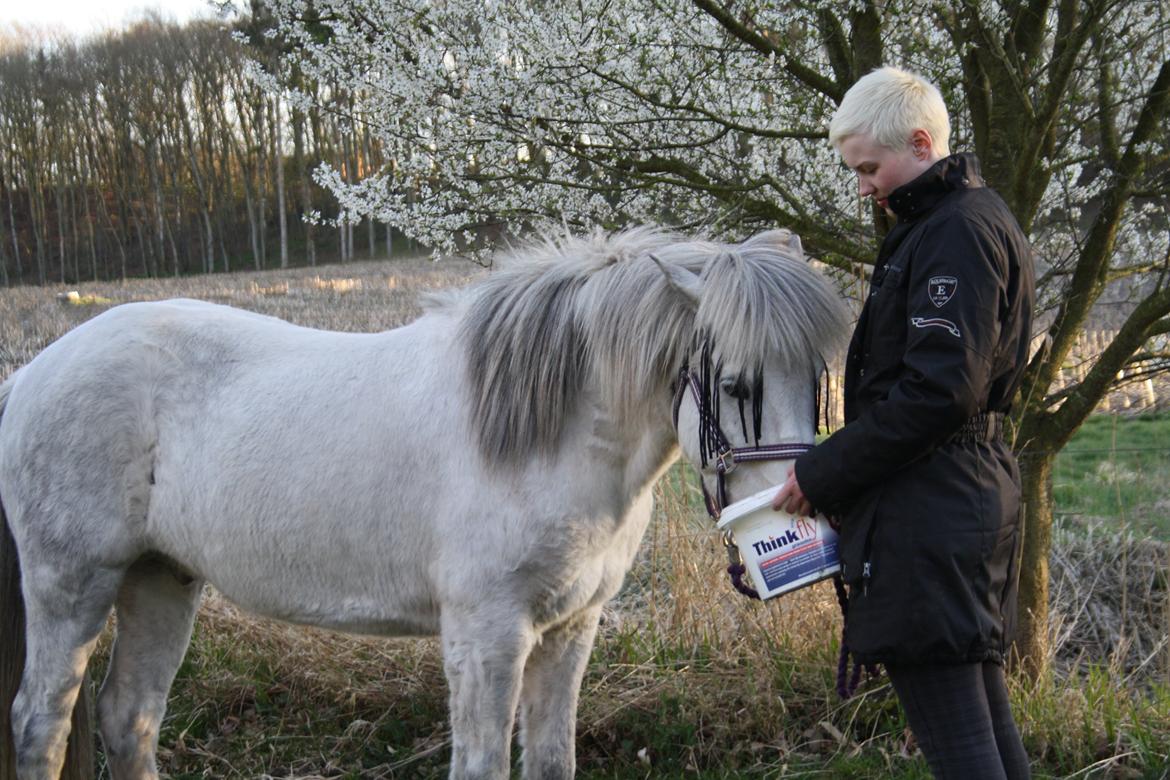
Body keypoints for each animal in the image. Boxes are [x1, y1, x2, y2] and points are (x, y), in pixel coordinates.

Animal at [0, 226, 842, 780]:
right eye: (734, 384)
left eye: (817, 379)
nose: (796, 503)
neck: (547, 436)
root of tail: (35, 370)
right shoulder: (487, 635)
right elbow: (482, 765)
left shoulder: (571, 628)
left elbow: (551, 760)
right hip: (71, 586)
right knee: (42, 723)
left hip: (161, 578)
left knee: (129, 717)